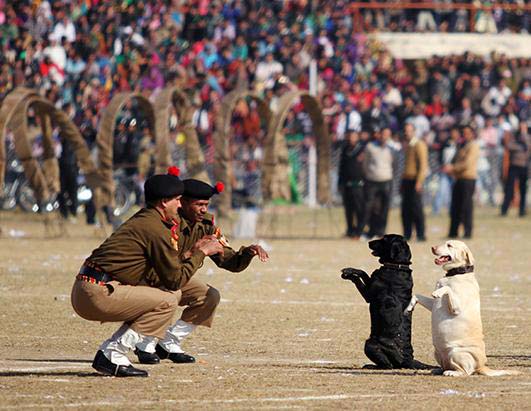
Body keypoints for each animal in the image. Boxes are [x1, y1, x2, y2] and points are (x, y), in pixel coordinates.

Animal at [342, 235, 430, 370]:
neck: (397, 266)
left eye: (384, 239)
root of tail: (408, 359)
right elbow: (364, 272)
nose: (369, 242)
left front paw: (348, 274)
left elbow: (358, 279)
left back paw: (371, 366)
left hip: (370, 344)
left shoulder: (368, 295)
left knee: (388, 366)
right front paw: (350, 270)